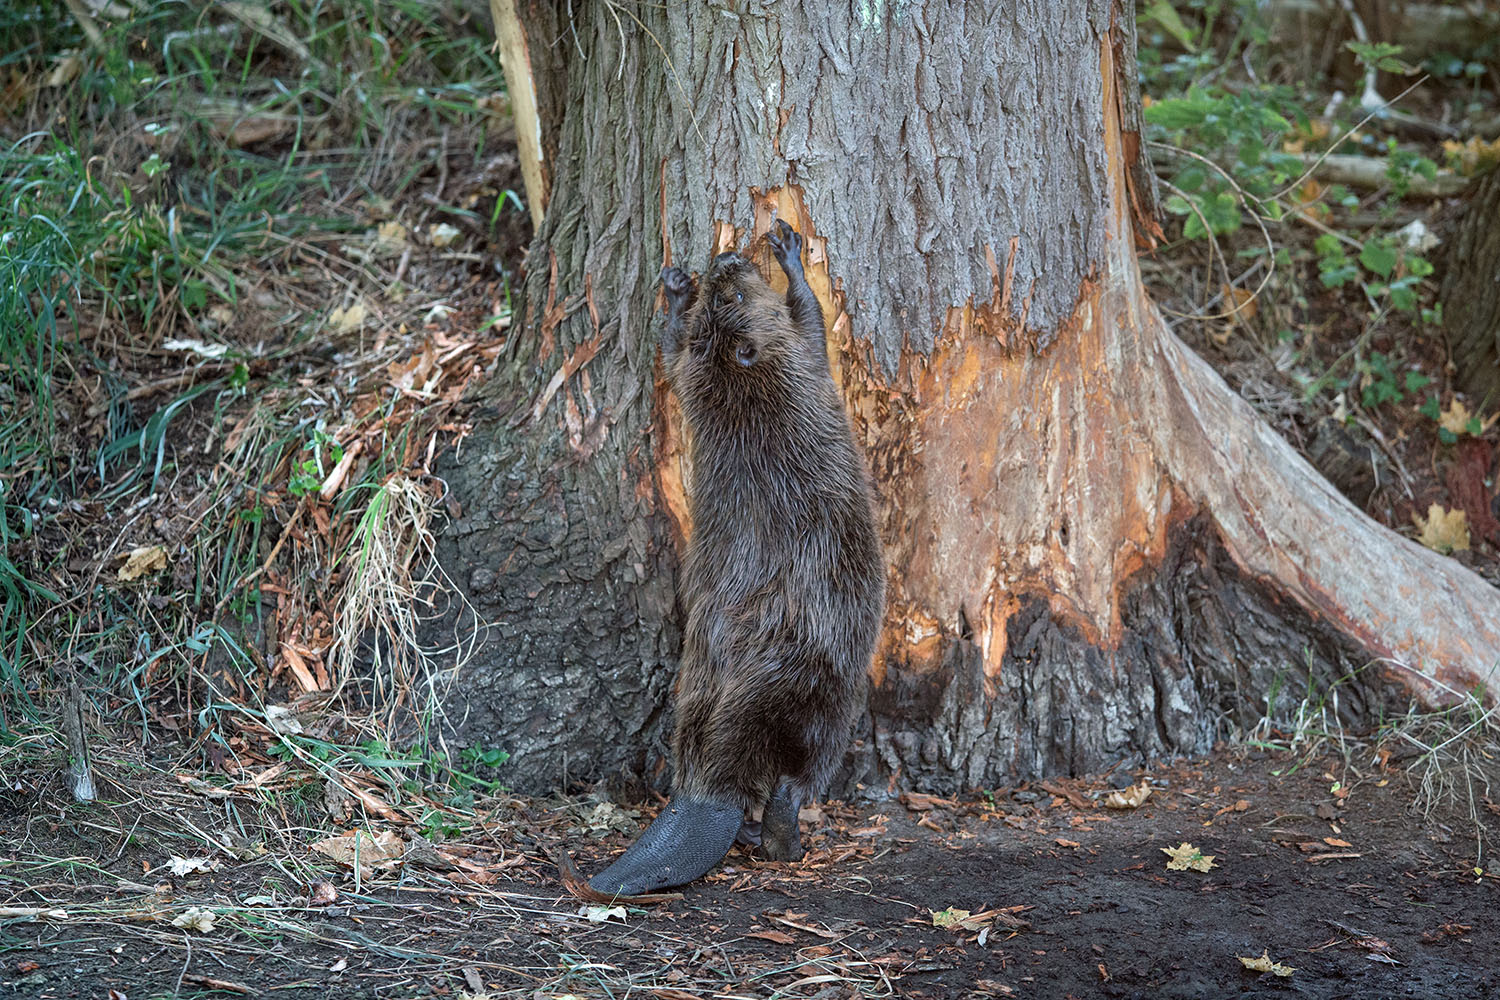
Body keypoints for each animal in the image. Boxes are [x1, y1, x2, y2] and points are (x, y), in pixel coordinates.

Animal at [585, 223, 882, 893]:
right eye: (737, 297)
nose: (723, 261)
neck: (745, 389)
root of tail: (705, 794)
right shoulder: (802, 359)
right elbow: (809, 318)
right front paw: (788, 248)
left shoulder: (698, 377)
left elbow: (673, 352)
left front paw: (675, 288)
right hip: (826, 702)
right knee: (793, 783)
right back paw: (781, 843)